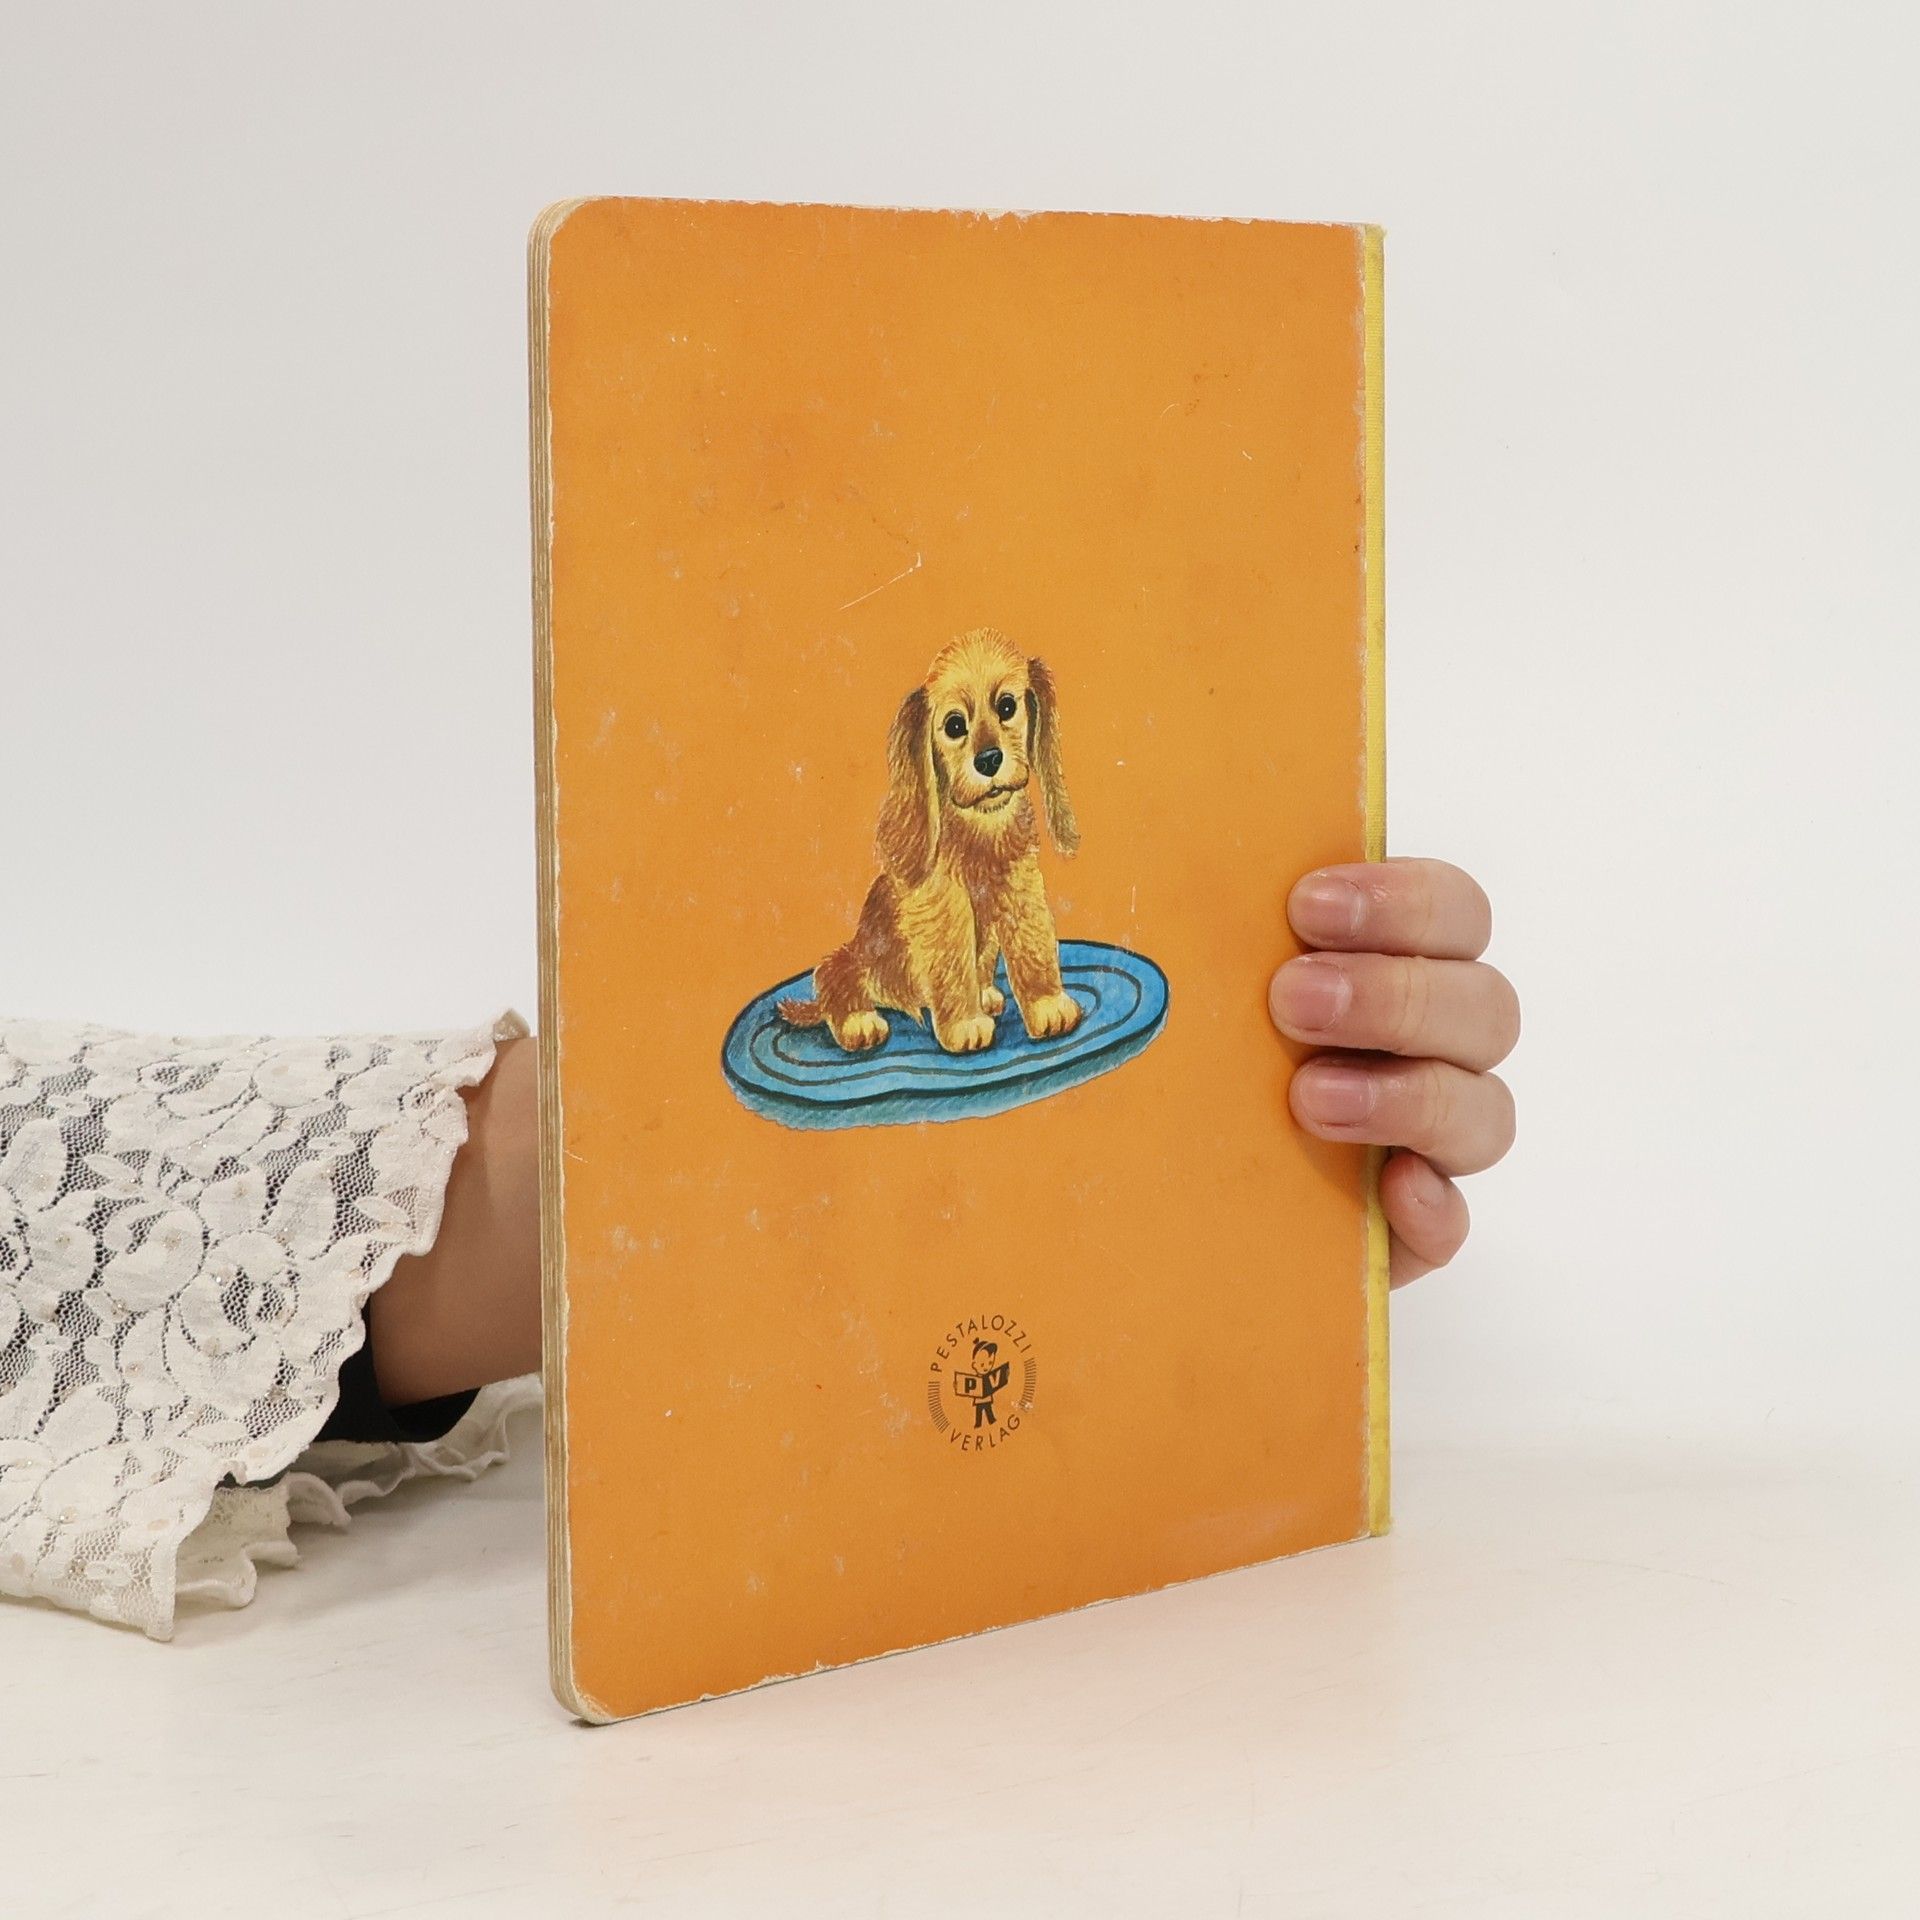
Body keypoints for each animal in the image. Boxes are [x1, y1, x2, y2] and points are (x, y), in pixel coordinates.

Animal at [778, 629, 1083, 1055]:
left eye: (1007, 706)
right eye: (954, 726)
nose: (989, 760)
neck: (980, 828)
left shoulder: (1020, 886)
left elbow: (1034, 945)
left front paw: (1047, 1006)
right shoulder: (944, 904)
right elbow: (952, 964)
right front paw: (965, 1025)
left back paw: (986, 994)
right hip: (852, 959)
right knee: (831, 974)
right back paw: (859, 1020)